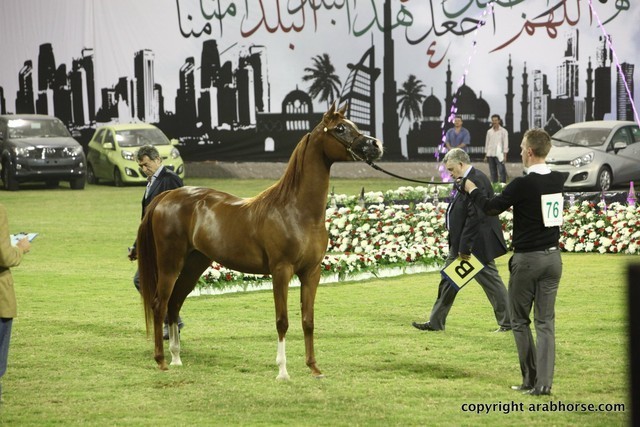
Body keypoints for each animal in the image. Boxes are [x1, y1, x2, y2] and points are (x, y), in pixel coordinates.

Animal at [137, 103, 383, 379]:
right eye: (340, 128)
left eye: (353, 125)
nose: (376, 146)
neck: (296, 211)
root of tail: (166, 196)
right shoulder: (281, 271)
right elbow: (282, 321)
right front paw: (283, 371)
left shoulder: (312, 272)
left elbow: (308, 321)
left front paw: (313, 367)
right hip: (170, 264)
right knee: (160, 304)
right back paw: (161, 360)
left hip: (194, 263)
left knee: (175, 302)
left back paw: (177, 357)